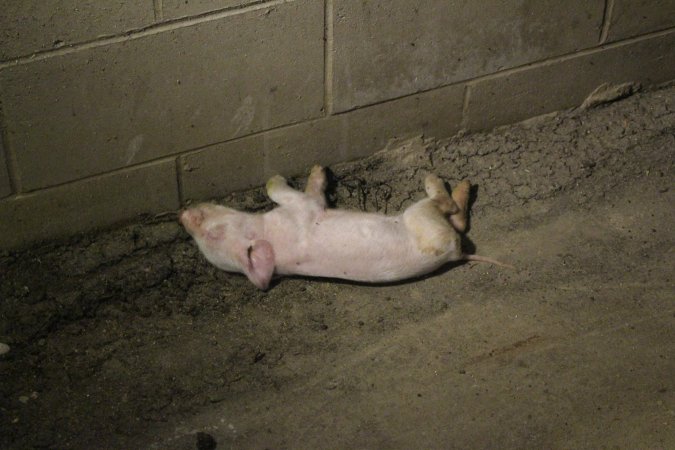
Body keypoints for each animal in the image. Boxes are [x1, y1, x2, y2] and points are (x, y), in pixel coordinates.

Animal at [180, 166, 511, 290]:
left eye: (209, 236)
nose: (182, 215)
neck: (267, 233)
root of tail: (456, 255)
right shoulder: (303, 207)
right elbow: (285, 191)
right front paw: (309, 171)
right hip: (423, 220)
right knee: (450, 211)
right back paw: (444, 180)